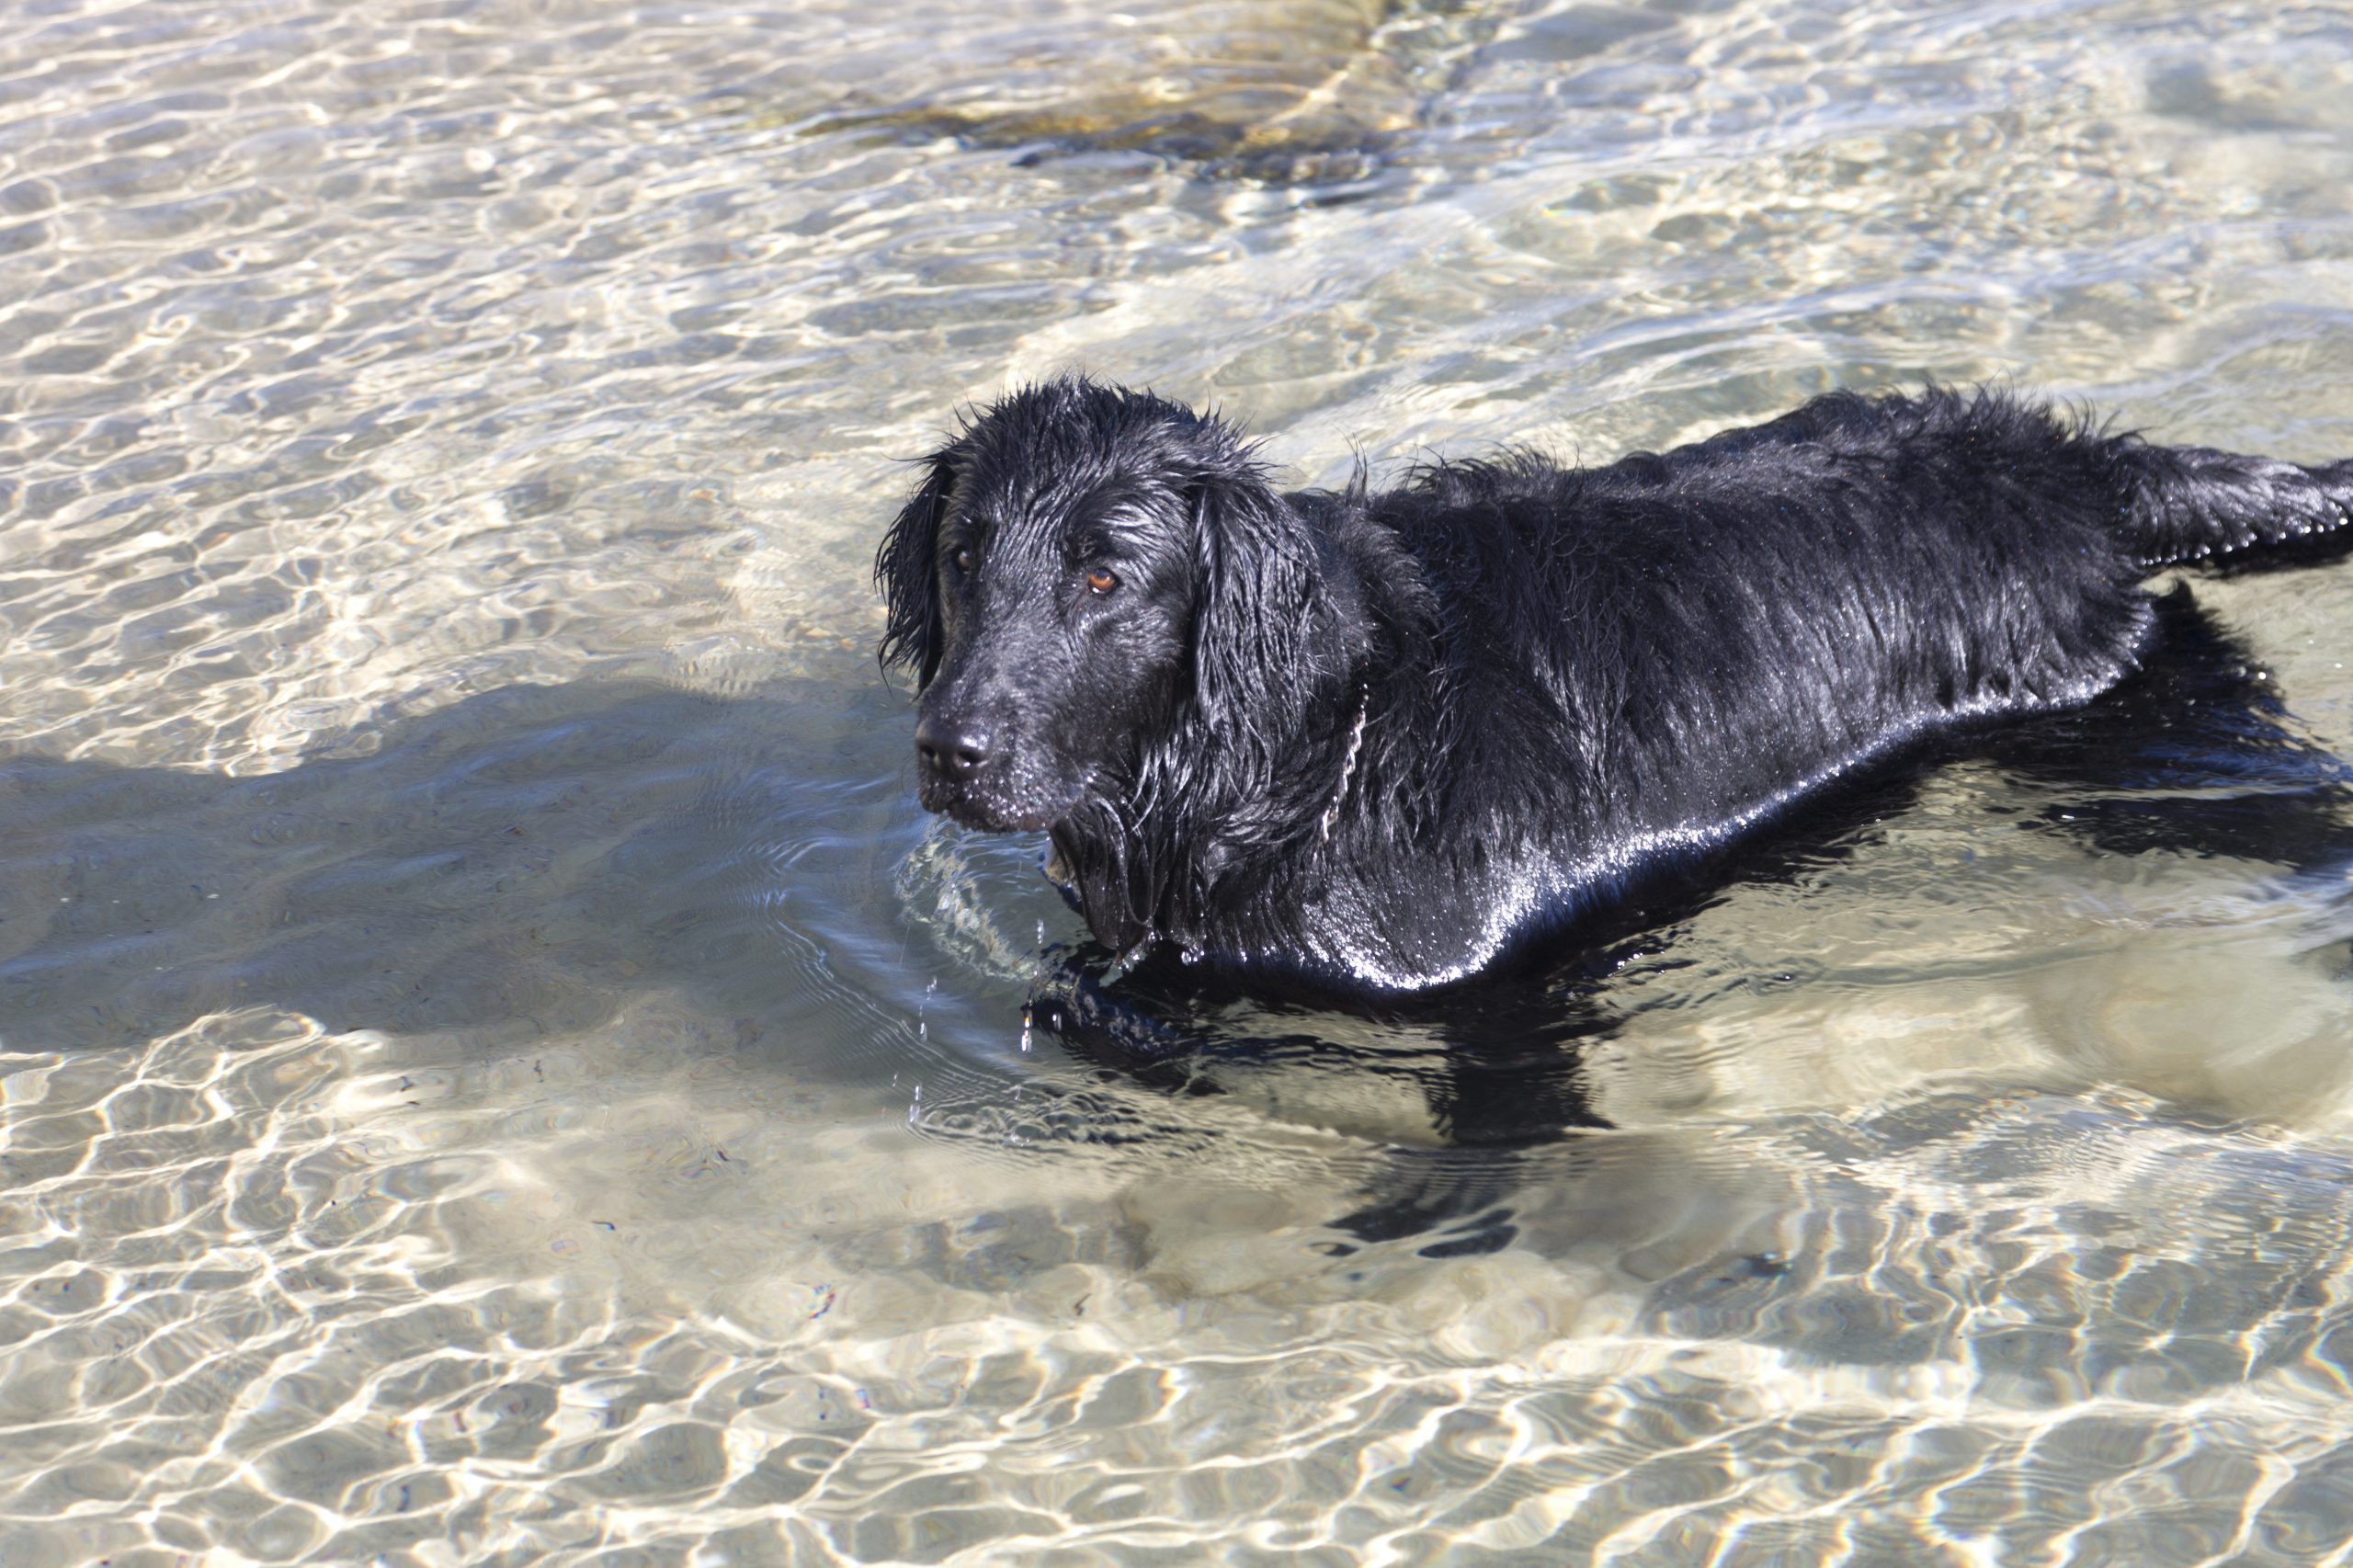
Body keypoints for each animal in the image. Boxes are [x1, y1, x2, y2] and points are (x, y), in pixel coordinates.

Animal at [875, 376, 2343, 988]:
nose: (950, 749)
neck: (1317, 748)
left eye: (1104, 579)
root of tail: (2071, 469)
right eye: (965, 554)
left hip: (2140, 718)